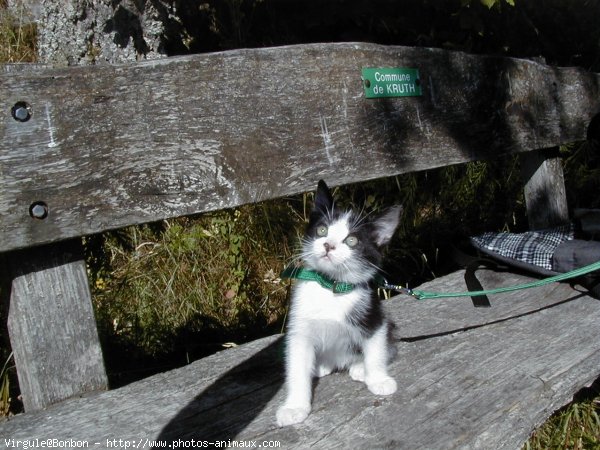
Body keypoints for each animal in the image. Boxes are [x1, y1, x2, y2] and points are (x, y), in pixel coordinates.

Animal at [278, 179, 404, 426]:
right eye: (322, 230)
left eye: (352, 240)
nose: (328, 245)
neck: (331, 287)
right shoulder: (299, 328)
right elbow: (296, 365)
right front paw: (295, 406)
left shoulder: (373, 315)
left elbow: (376, 348)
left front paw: (378, 379)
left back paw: (359, 367)